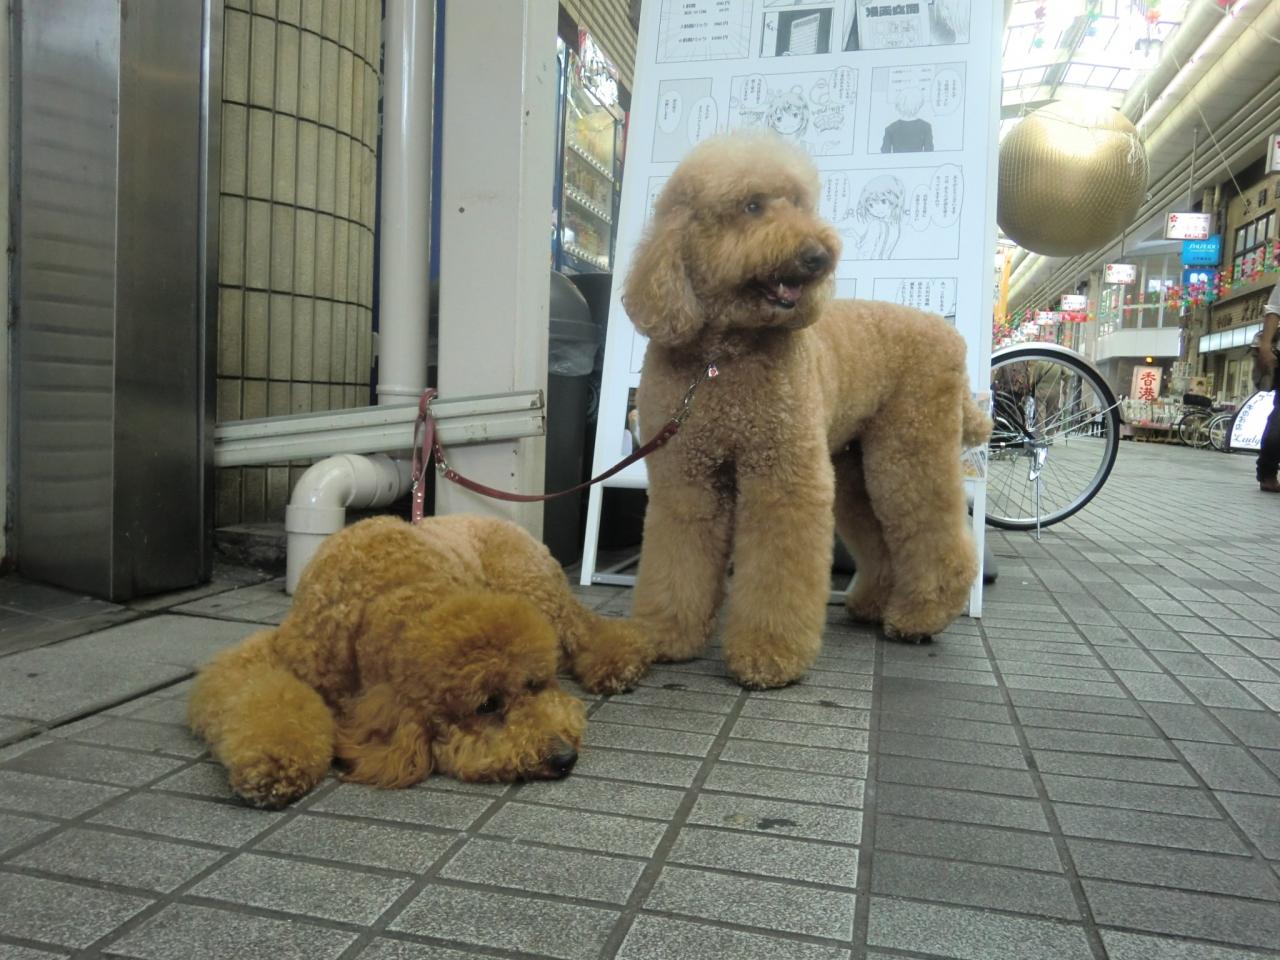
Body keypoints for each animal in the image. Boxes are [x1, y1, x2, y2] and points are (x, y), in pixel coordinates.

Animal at [188, 515, 652, 808]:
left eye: (535, 686)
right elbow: (264, 698)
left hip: (532, 585)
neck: (384, 595)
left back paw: (619, 664)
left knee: (585, 628)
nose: (564, 758)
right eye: (487, 705)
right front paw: (270, 767)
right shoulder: (269, 655)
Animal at [622, 132, 989, 689]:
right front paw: (667, 635)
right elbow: (679, 558)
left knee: (935, 529)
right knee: (880, 537)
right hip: (855, 467)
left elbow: (779, 569)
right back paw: (873, 603)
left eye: (799, 204)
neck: (719, 361)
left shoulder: (784, 473)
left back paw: (920, 617)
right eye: (751, 206)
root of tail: (951, 335)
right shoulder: (686, 479)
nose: (818, 256)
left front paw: (769, 654)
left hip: (908, 450)